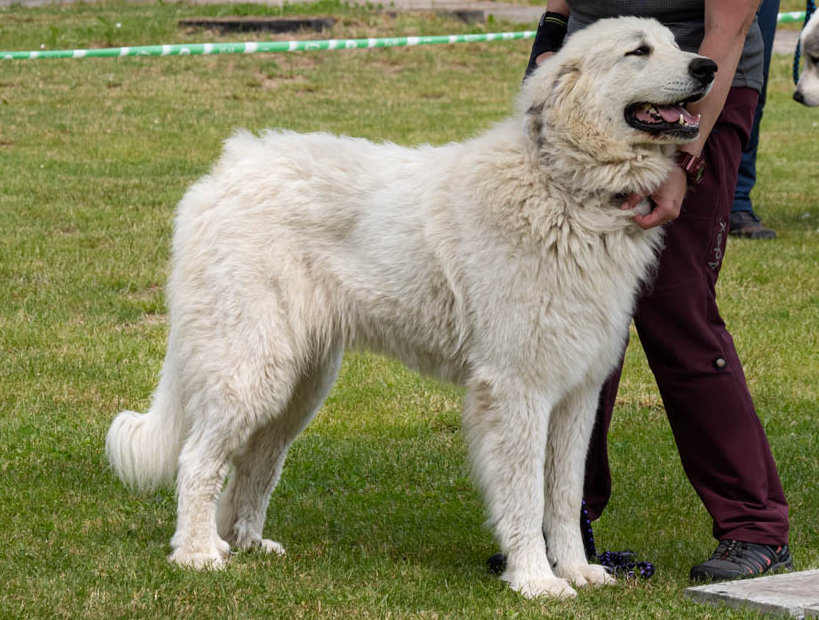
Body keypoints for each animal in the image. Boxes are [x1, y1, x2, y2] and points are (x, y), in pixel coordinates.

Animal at [107, 18, 716, 600]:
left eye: (673, 43)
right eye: (638, 51)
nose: (708, 67)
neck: (567, 188)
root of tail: (223, 173)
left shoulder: (576, 393)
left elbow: (565, 497)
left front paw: (578, 570)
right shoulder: (517, 388)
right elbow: (525, 496)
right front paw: (536, 580)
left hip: (299, 384)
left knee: (254, 462)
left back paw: (244, 543)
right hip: (253, 368)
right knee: (199, 459)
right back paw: (197, 554)